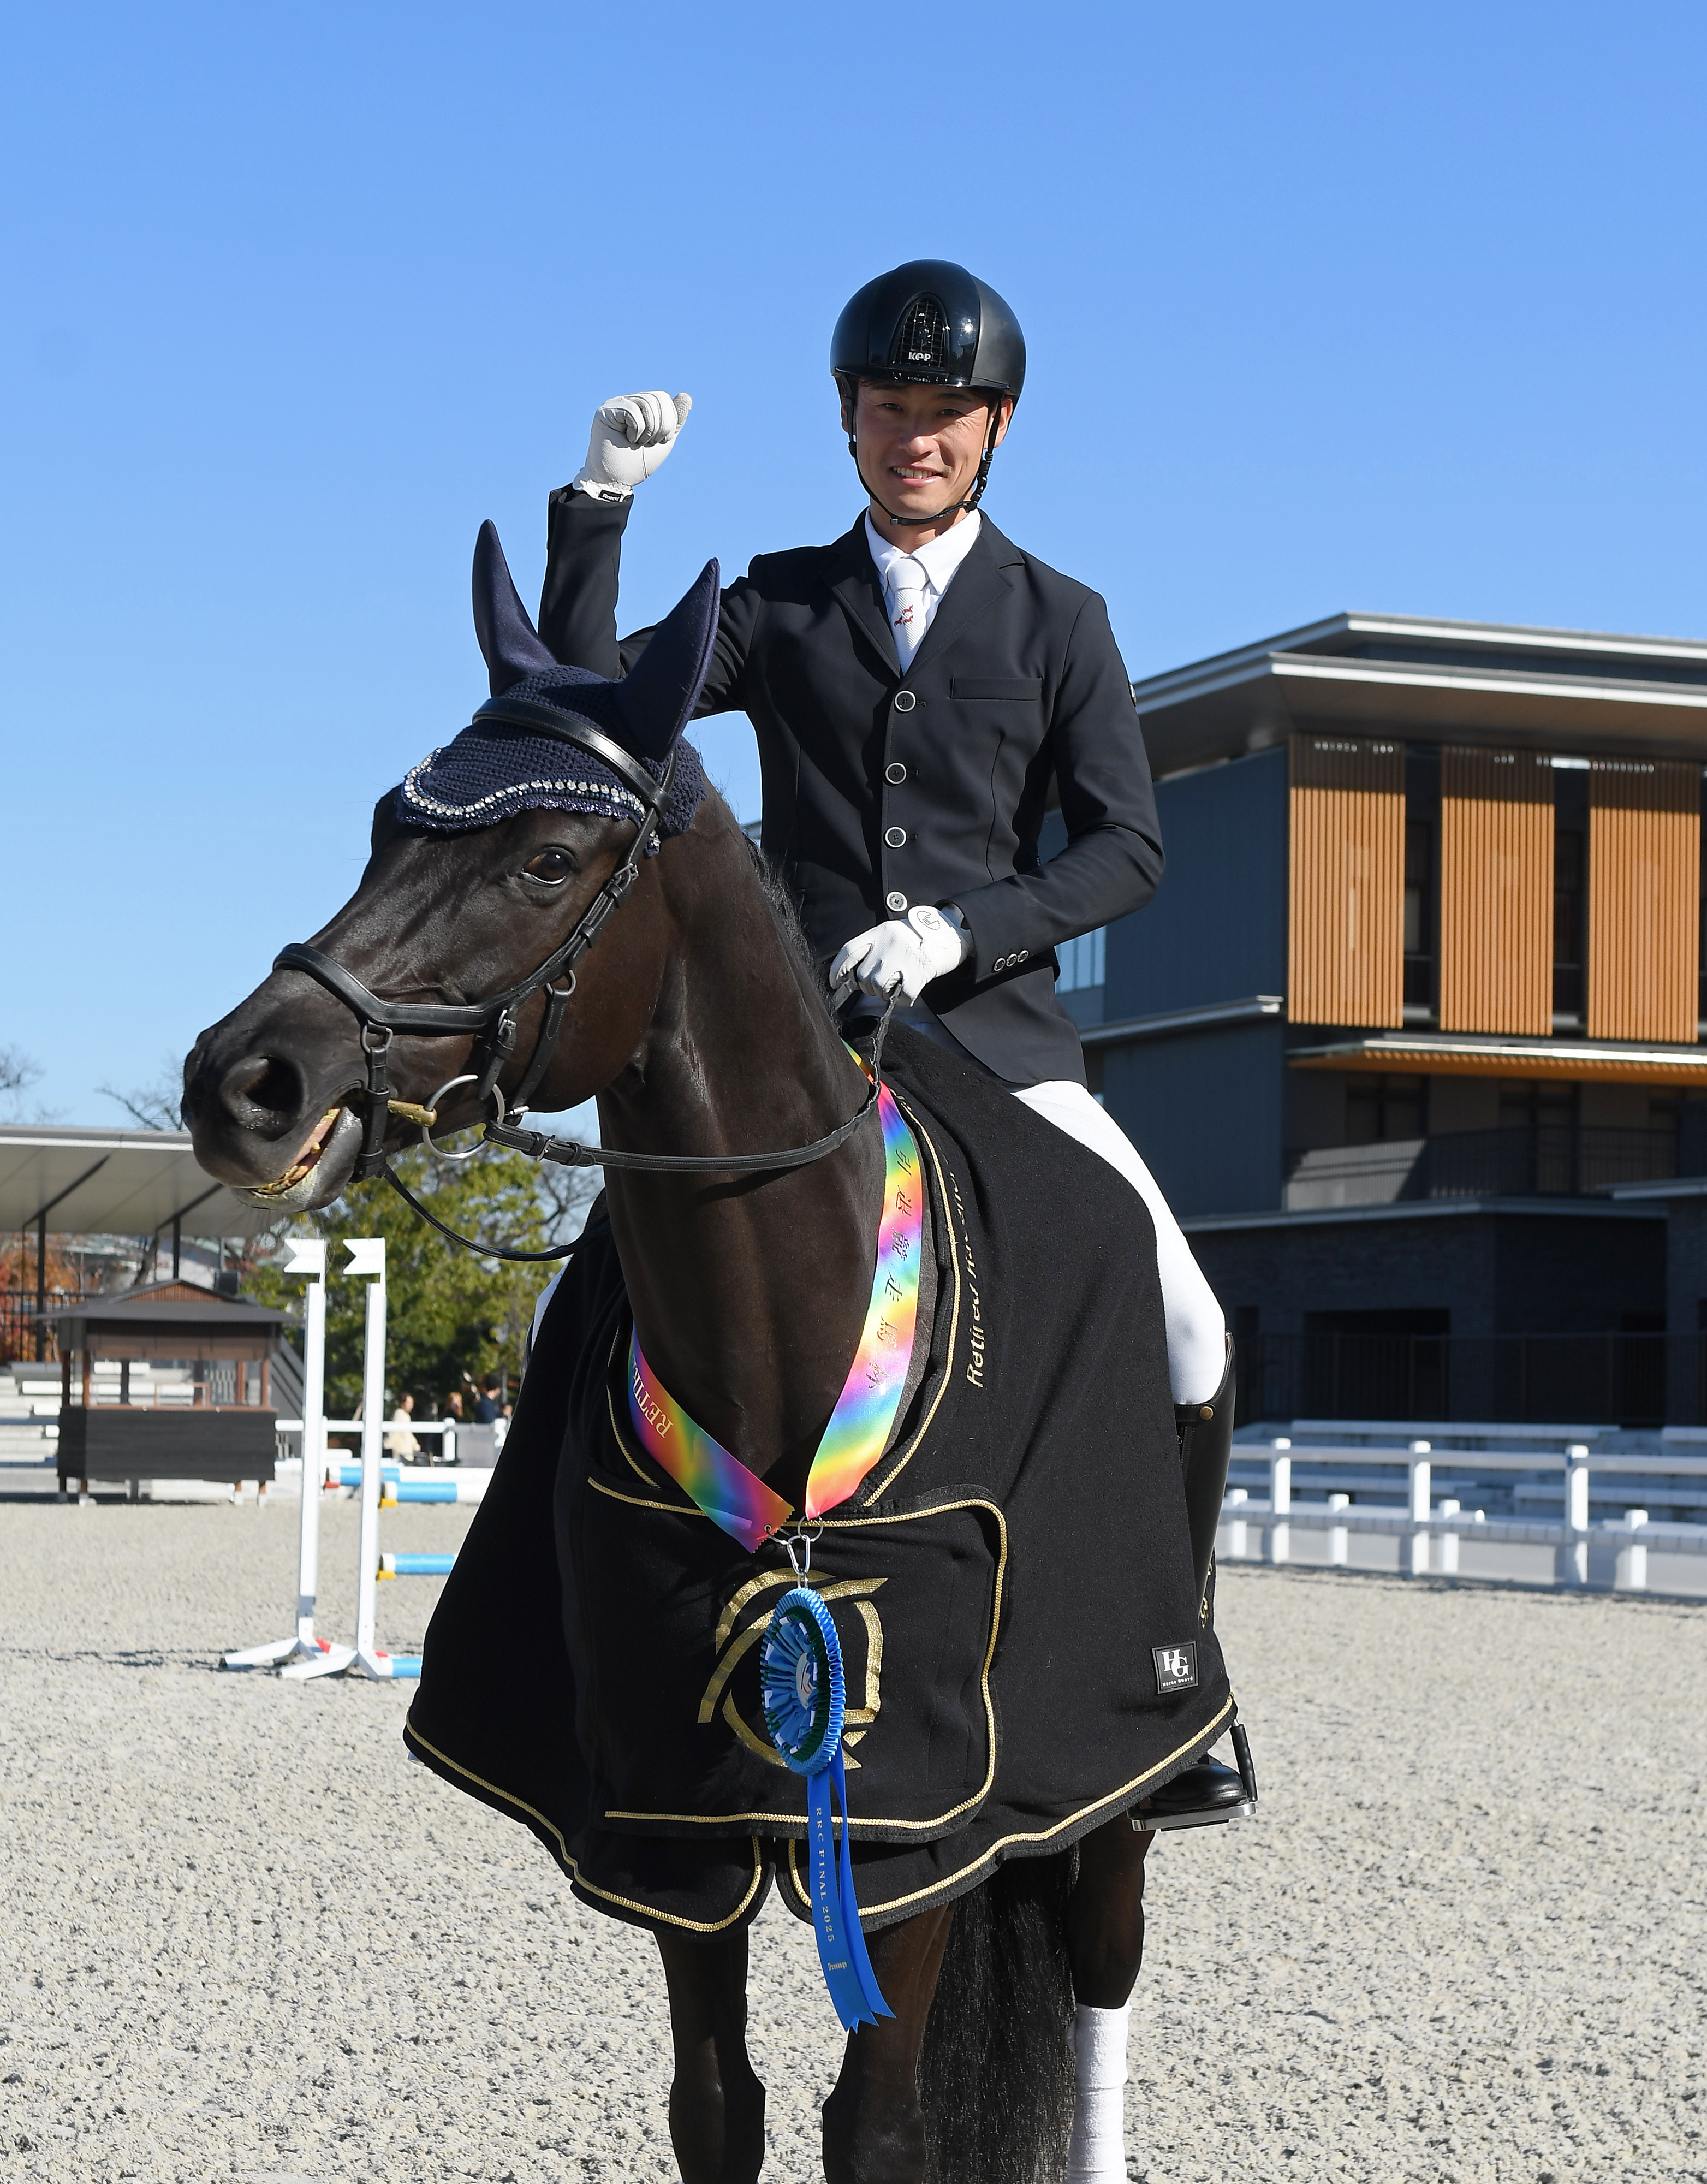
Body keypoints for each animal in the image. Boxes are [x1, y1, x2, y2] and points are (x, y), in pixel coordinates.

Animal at [183, 530, 1242, 2184]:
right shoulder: (672, 1827)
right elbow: (713, 2110)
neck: (785, 1332)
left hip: (1115, 1772)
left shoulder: (916, 1816)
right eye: (377, 830)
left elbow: (875, 2125)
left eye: (545, 862)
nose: (242, 1081)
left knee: (1100, 1979)